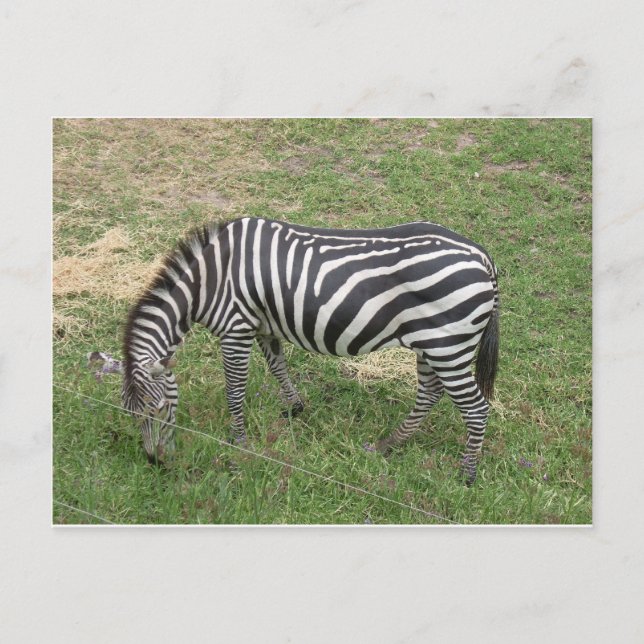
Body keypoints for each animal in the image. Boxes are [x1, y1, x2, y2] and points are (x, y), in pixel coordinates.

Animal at [100, 216, 499, 485]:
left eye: (159, 409)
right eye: (130, 413)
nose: (154, 463)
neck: (207, 281)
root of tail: (483, 256)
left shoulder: (236, 328)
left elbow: (235, 389)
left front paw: (238, 441)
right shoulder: (263, 325)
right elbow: (278, 367)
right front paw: (295, 407)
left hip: (447, 345)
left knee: (475, 408)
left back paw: (466, 474)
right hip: (431, 344)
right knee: (429, 394)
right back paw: (387, 445)